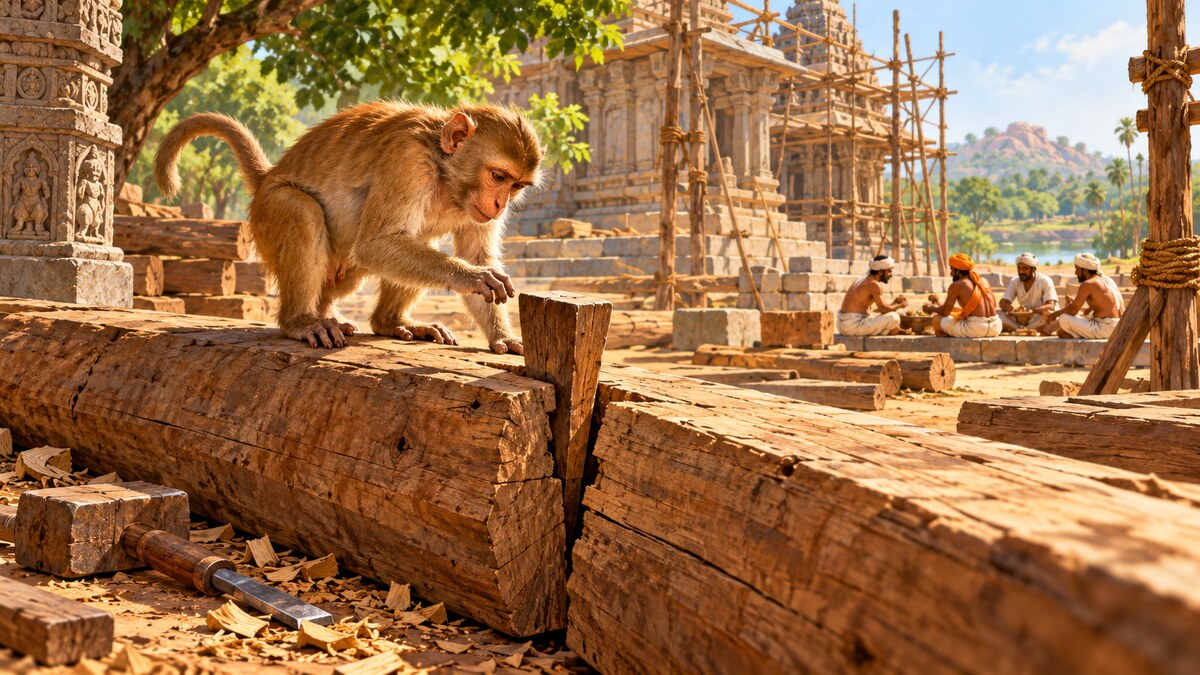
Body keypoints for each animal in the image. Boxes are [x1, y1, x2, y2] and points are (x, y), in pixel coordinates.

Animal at [154, 102, 544, 355]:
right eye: (498, 177)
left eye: (516, 186)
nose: (500, 205)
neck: (443, 168)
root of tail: (266, 177)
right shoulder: (407, 160)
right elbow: (375, 244)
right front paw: (474, 278)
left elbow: (475, 253)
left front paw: (503, 337)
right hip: (266, 213)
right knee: (303, 212)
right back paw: (301, 321)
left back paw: (386, 321)